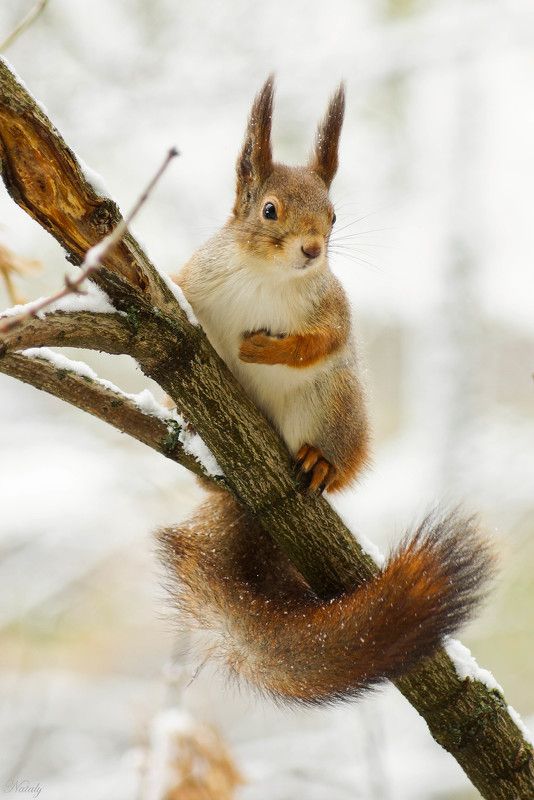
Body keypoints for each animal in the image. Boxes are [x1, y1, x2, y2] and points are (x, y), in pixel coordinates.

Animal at [158, 77, 494, 705]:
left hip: (335, 406)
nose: (313, 249)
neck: (267, 276)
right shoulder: (192, 282)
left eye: (334, 217)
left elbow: (322, 342)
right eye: (269, 210)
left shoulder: (332, 308)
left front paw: (267, 350)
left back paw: (320, 463)